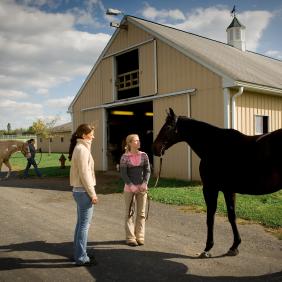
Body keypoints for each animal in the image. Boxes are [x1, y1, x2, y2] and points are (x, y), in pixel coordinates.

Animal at [153, 108, 280, 258]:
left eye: (167, 127)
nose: (155, 148)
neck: (214, 145)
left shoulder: (210, 188)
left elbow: (210, 217)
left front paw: (208, 248)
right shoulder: (228, 190)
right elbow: (232, 216)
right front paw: (234, 246)